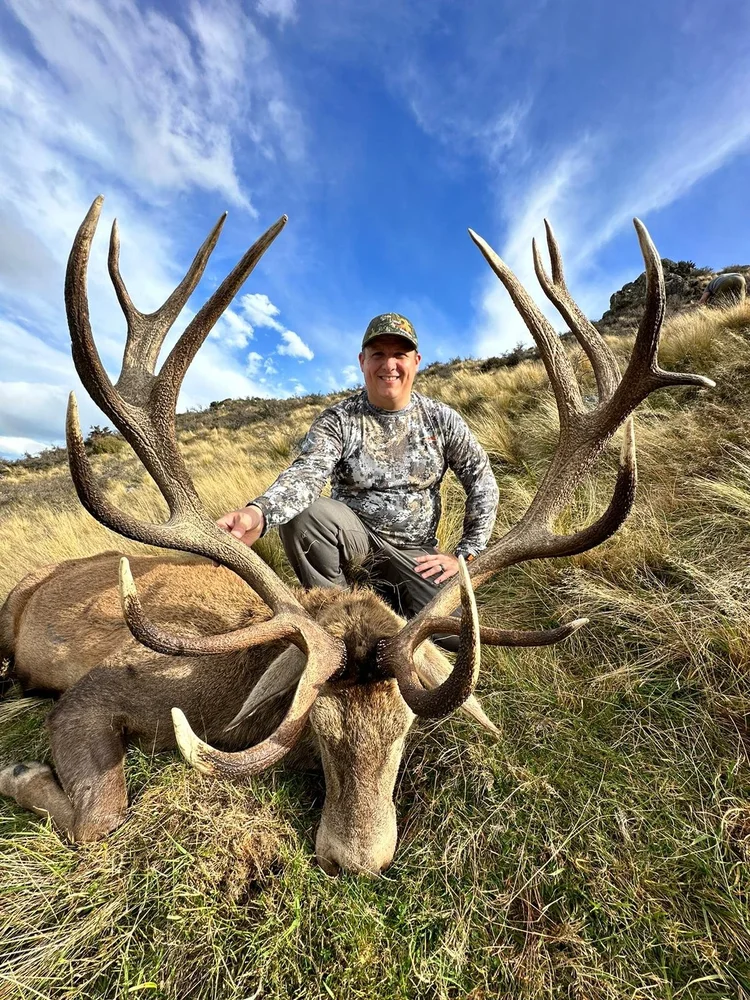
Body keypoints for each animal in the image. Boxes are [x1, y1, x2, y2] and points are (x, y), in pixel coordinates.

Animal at [0, 197, 713, 875]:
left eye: (407, 726)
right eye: (315, 727)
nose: (356, 861)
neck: (233, 697)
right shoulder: (104, 688)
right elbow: (101, 815)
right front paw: (20, 770)